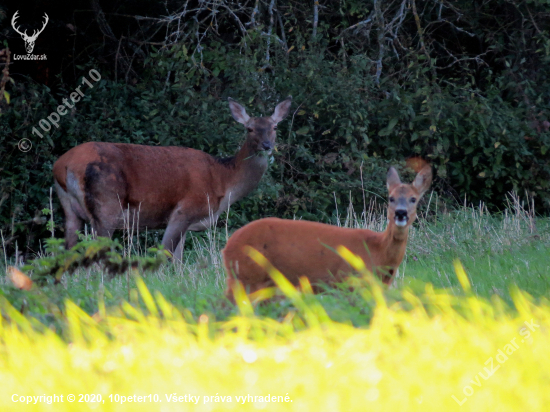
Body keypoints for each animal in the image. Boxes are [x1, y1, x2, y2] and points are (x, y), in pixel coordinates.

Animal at [52, 96, 294, 258]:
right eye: (249, 129)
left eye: (274, 127)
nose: (267, 146)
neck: (223, 181)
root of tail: (63, 165)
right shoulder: (184, 210)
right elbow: (165, 255)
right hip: (106, 206)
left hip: (69, 209)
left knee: (67, 250)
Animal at [222, 165, 434, 300]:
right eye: (391, 198)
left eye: (413, 199)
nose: (401, 213)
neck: (378, 252)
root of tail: (227, 247)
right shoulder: (347, 282)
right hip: (247, 276)